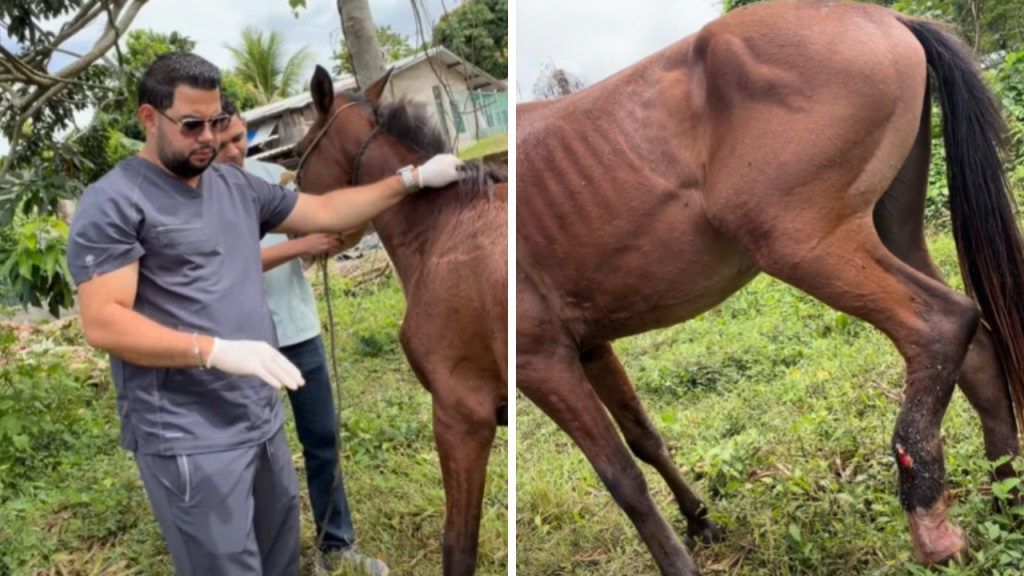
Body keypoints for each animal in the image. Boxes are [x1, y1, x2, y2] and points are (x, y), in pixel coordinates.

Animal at [517, 1, 1024, 574]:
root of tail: (884, 17)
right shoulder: (591, 345)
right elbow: (645, 438)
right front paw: (699, 520)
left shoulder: (539, 359)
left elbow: (620, 476)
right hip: (893, 230)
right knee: (979, 351)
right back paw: (1004, 500)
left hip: (804, 245)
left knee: (941, 326)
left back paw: (931, 525)